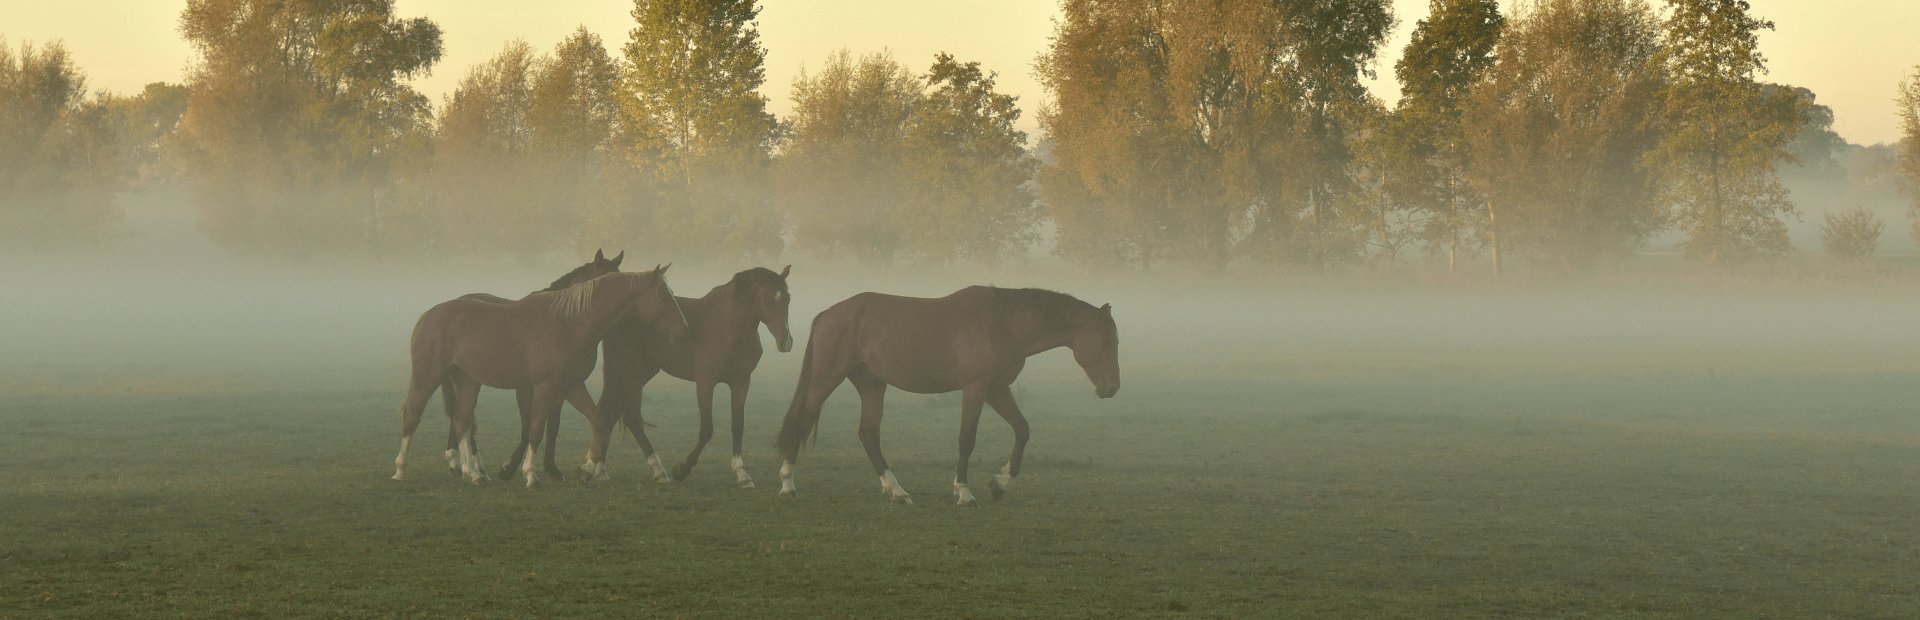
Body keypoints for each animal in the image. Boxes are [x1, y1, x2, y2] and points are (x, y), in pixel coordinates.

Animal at [391, 266, 691, 487]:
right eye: (664, 298)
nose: (684, 330)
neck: (570, 323)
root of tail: (428, 316)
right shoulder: (544, 387)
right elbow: (535, 430)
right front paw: (530, 474)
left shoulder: (571, 385)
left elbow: (598, 421)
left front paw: (588, 467)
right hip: (427, 376)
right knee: (412, 416)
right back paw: (400, 470)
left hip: (467, 381)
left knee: (462, 420)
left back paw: (474, 474)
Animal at [513, 266, 795, 487]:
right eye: (767, 300)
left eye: (788, 299)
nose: (786, 342)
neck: (727, 327)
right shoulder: (705, 382)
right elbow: (707, 428)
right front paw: (682, 468)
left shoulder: (741, 382)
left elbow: (738, 426)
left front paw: (742, 473)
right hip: (628, 371)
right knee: (629, 417)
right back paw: (646, 469)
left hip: (641, 372)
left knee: (612, 414)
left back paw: (597, 468)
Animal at [773, 286, 1121, 506]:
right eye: (1106, 342)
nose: (1112, 388)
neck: (1004, 323)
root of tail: (828, 314)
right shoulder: (976, 389)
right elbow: (967, 439)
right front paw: (964, 492)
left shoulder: (997, 389)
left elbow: (1022, 430)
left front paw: (999, 483)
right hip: (826, 379)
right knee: (802, 422)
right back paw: (787, 484)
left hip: (872, 385)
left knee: (868, 434)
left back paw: (896, 490)